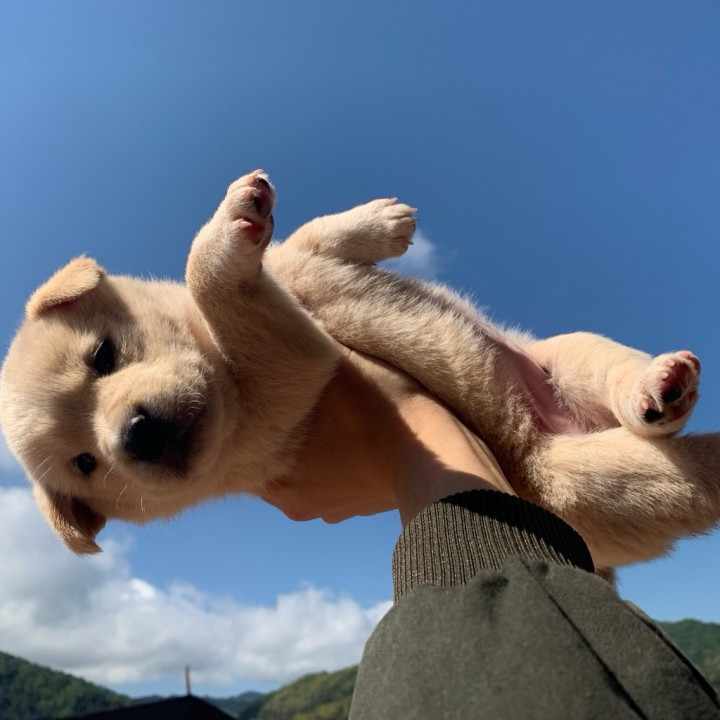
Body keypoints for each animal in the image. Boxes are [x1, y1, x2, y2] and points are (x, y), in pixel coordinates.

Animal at [1, 170, 718, 574]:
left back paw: (660, 386)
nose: (136, 435)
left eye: (102, 357)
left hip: (568, 356)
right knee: (690, 470)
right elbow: (210, 274)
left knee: (621, 378)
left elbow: (304, 239)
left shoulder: (293, 273)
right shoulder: (294, 372)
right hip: (593, 480)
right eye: (86, 464)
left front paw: (372, 220)